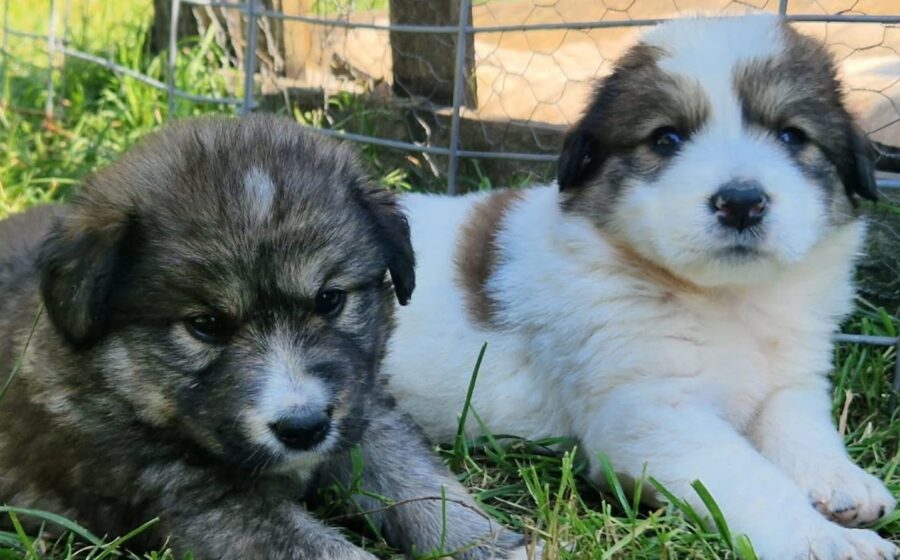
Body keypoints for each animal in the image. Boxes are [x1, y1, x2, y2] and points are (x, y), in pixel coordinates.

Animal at [0, 116, 533, 560]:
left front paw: (493, 545)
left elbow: (423, 485)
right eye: (206, 324)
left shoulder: (366, 411)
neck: (123, 387)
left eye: (329, 299)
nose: (304, 429)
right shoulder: (208, 505)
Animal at [384, 15, 898, 560]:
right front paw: (830, 541)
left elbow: (801, 424)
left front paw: (843, 483)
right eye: (666, 139)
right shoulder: (652, 414)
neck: (726, 301)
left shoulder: (789, 378)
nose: (741, 202)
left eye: (791, 135)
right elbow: (754, 480)